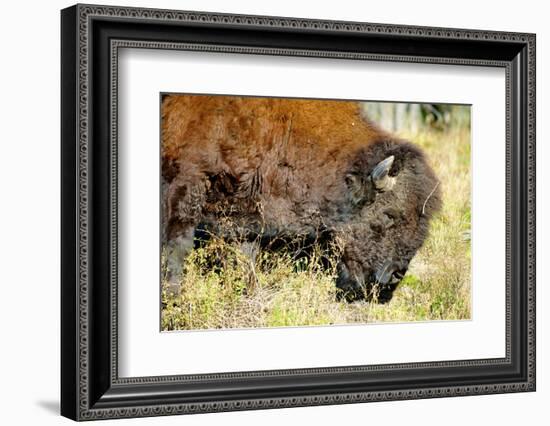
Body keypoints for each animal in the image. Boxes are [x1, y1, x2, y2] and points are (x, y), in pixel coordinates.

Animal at [162, 95, 442, 304]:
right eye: (389, 214)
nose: (395, 275)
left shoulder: (245, 210)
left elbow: (246, 255)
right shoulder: (185, 184)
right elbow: (177, 245)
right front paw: (173, 296)